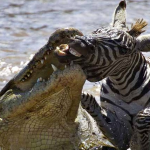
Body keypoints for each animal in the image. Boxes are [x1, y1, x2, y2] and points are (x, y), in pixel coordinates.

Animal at [55, 0, 150, 150]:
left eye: (124, 50)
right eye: (96, 31)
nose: (79, 42)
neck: (125, 90)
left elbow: (142, 117)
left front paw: (140, 143)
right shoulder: (120, 131)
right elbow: (89, 102)